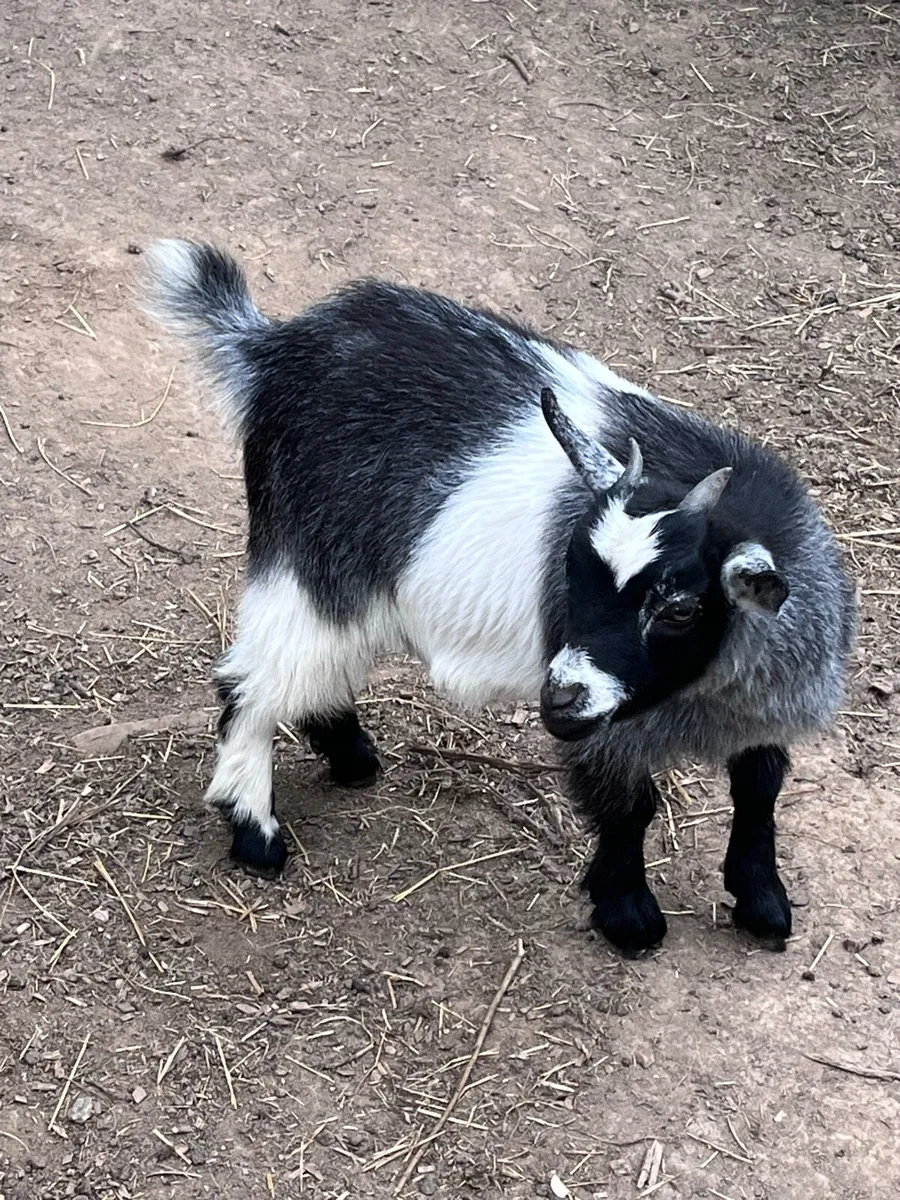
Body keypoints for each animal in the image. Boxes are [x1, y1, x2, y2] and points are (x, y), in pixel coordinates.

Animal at [141, 239, 855, 955]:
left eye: (680, 608)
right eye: (569, 569)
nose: (558, 696)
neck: (700, 698)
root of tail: (276, 348)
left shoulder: (761, 707)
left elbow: (759, 789)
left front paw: (762, 900)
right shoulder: (606, 732)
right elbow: (630, 807)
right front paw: (628, 912)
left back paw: (350, 758)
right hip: (313, 565)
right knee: (251, 682)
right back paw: (254, 831)